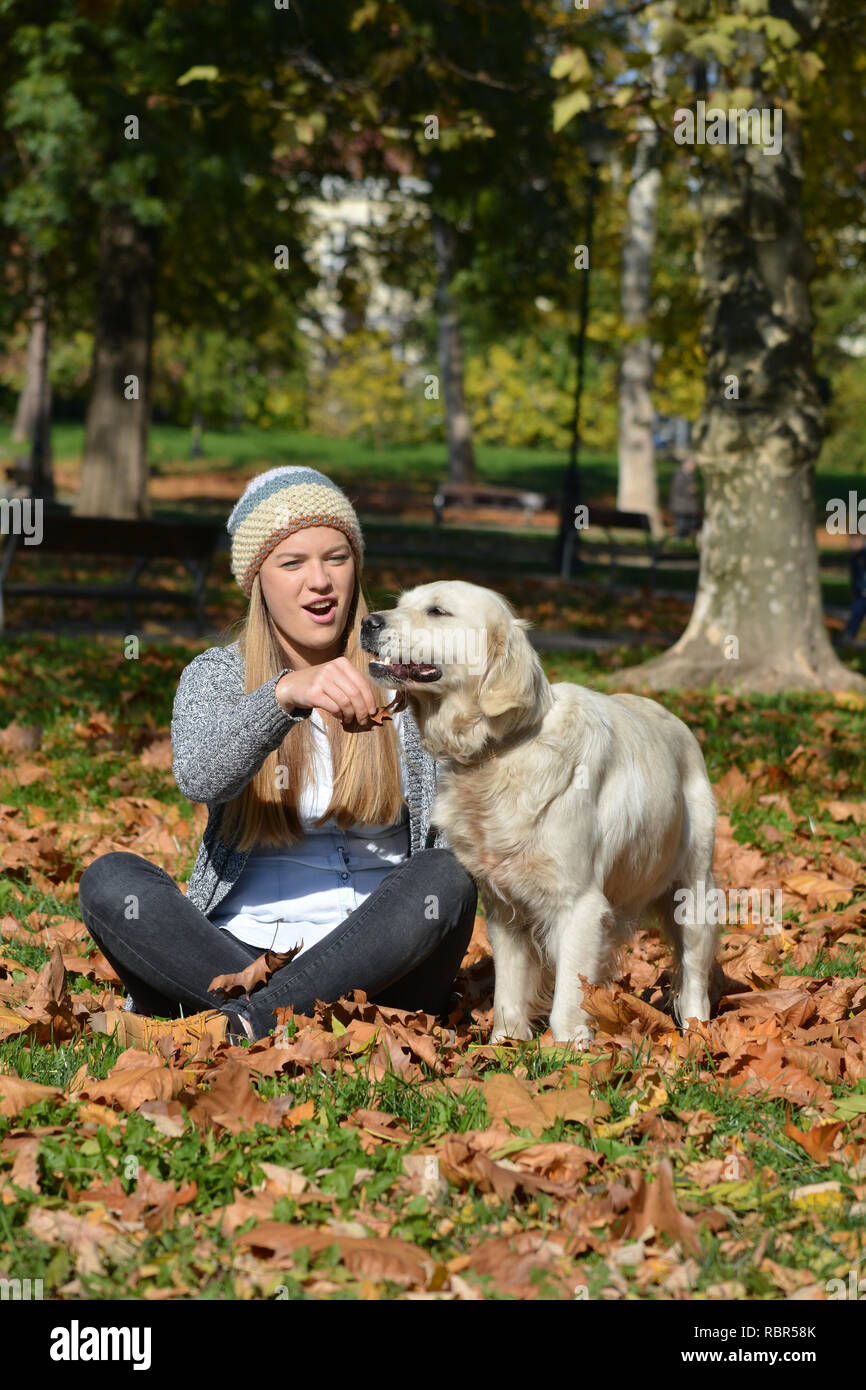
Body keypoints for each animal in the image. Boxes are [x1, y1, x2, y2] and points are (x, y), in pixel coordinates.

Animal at [358, 575, 717, 1045]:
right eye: (401, 603)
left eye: (437, 611)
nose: (367, 622)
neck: (500, 752)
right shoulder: (503, 909)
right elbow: (509, 991)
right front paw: (504, 1044)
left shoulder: (579, 904)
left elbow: (568, 997)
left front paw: (565, 1053)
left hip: (692, 892)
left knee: (694, 975)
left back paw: (697, 1033)